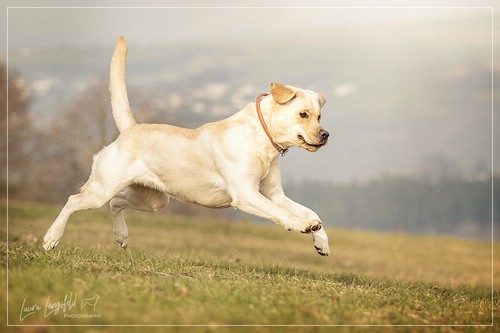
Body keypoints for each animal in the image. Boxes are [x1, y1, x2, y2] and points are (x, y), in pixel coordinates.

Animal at [44, 35, 332, 254]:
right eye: (303, 114)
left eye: (319, 116)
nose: (325, 134)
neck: (261, 139)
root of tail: (130, 128)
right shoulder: (246, 194)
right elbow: (280, 212)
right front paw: (299, 225)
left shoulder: (273, 192)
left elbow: (311, 211)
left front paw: (321, 240)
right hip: (101, 189)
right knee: (73, 200)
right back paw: (51, 238)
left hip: (153, 200)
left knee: (115, 204)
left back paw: (121, 236)